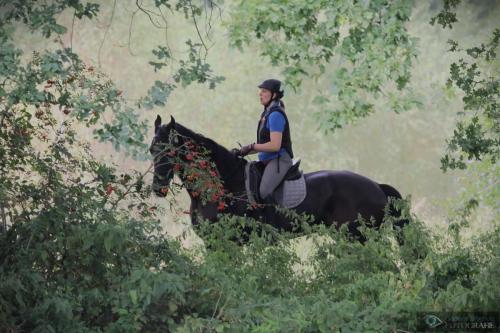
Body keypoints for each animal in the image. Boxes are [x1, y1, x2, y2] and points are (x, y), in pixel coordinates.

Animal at [149, 115, 406, 243]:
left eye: (168, 151)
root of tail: (377, 187)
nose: (158, 188)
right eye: (152, 150)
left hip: (358, 237)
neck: (221, 186)